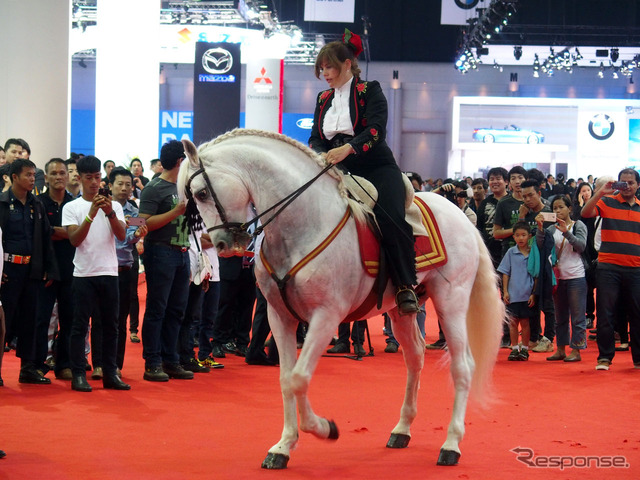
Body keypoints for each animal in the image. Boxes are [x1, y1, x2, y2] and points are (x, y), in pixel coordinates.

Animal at [179, 128, 504, 468]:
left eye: (201, 193)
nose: (221, 244)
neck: (303, 224)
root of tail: (461, 217)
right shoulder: (279, 317)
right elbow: (285, 380)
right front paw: (283, 447)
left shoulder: (326, 316)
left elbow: (299, 378)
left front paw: (324, 428)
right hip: (401, 310)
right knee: (415, 357)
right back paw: (402, 430)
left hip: (452, 301)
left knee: (462, 366)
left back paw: (451, 444)